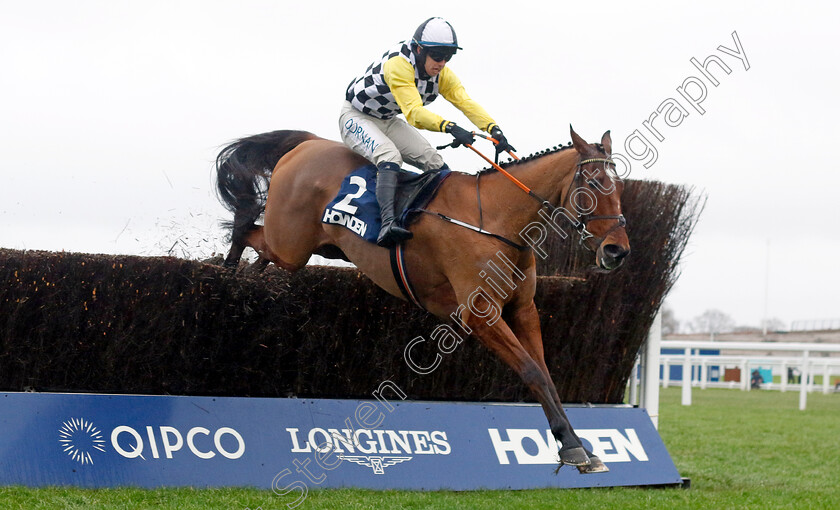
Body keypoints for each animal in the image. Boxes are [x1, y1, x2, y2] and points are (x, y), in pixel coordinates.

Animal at [217, 127, 632, 474]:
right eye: (592, 184)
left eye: (619, 188)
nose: (617, 252)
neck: (496, 219)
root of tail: (307, 143)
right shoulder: (480, 313)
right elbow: (530, 371)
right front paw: (572, 446)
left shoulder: (522, 309)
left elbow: (545, 374)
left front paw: (577, 444)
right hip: (291, 244)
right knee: (245, 230)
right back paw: (227, 274)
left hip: (315, 248)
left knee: (260, 252)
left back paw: (247, 281)